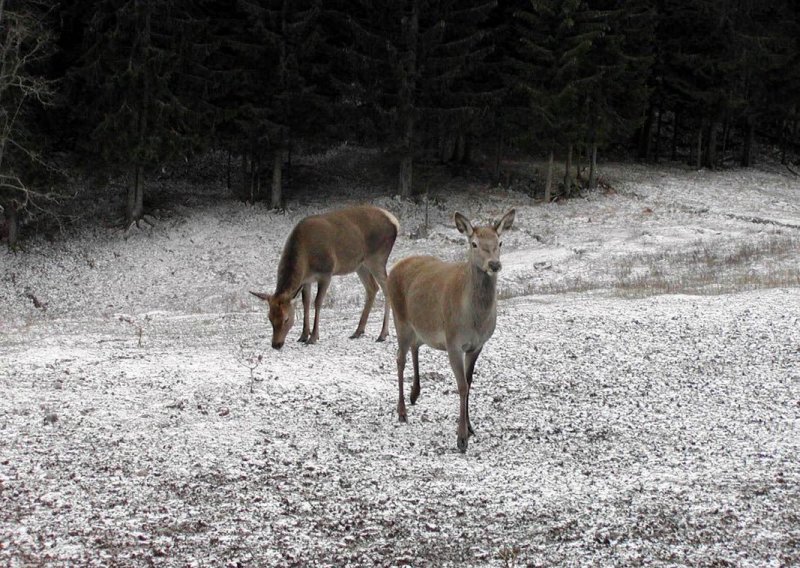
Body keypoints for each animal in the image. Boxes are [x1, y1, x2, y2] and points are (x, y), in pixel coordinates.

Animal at [250, 204, 400, 348]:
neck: (306, 260)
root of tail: (394, 221)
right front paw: (303, 335)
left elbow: (317, 302)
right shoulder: (307, 280)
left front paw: (313, 337)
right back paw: (358, 331)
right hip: (360, 265)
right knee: (372, 288)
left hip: (377, 257)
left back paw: (382, 334)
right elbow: (305, 303)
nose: (276, 344)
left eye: (286, 318)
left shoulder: (326, 273)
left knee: (386, 288)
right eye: (269, 318)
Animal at [390, 209, 516, 452]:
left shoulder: (477, 345)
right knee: (400, 358)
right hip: (399, 317)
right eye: (474, 243)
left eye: (500, 242)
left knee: (415, 345)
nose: (494, 264)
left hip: (421, 326)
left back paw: (414, 394)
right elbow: (462, 386)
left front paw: (471, 428)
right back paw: (401, 411)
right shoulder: (453, 342)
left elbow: (469, 383)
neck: (474, 320)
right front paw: (461, 438)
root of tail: (395, 266)